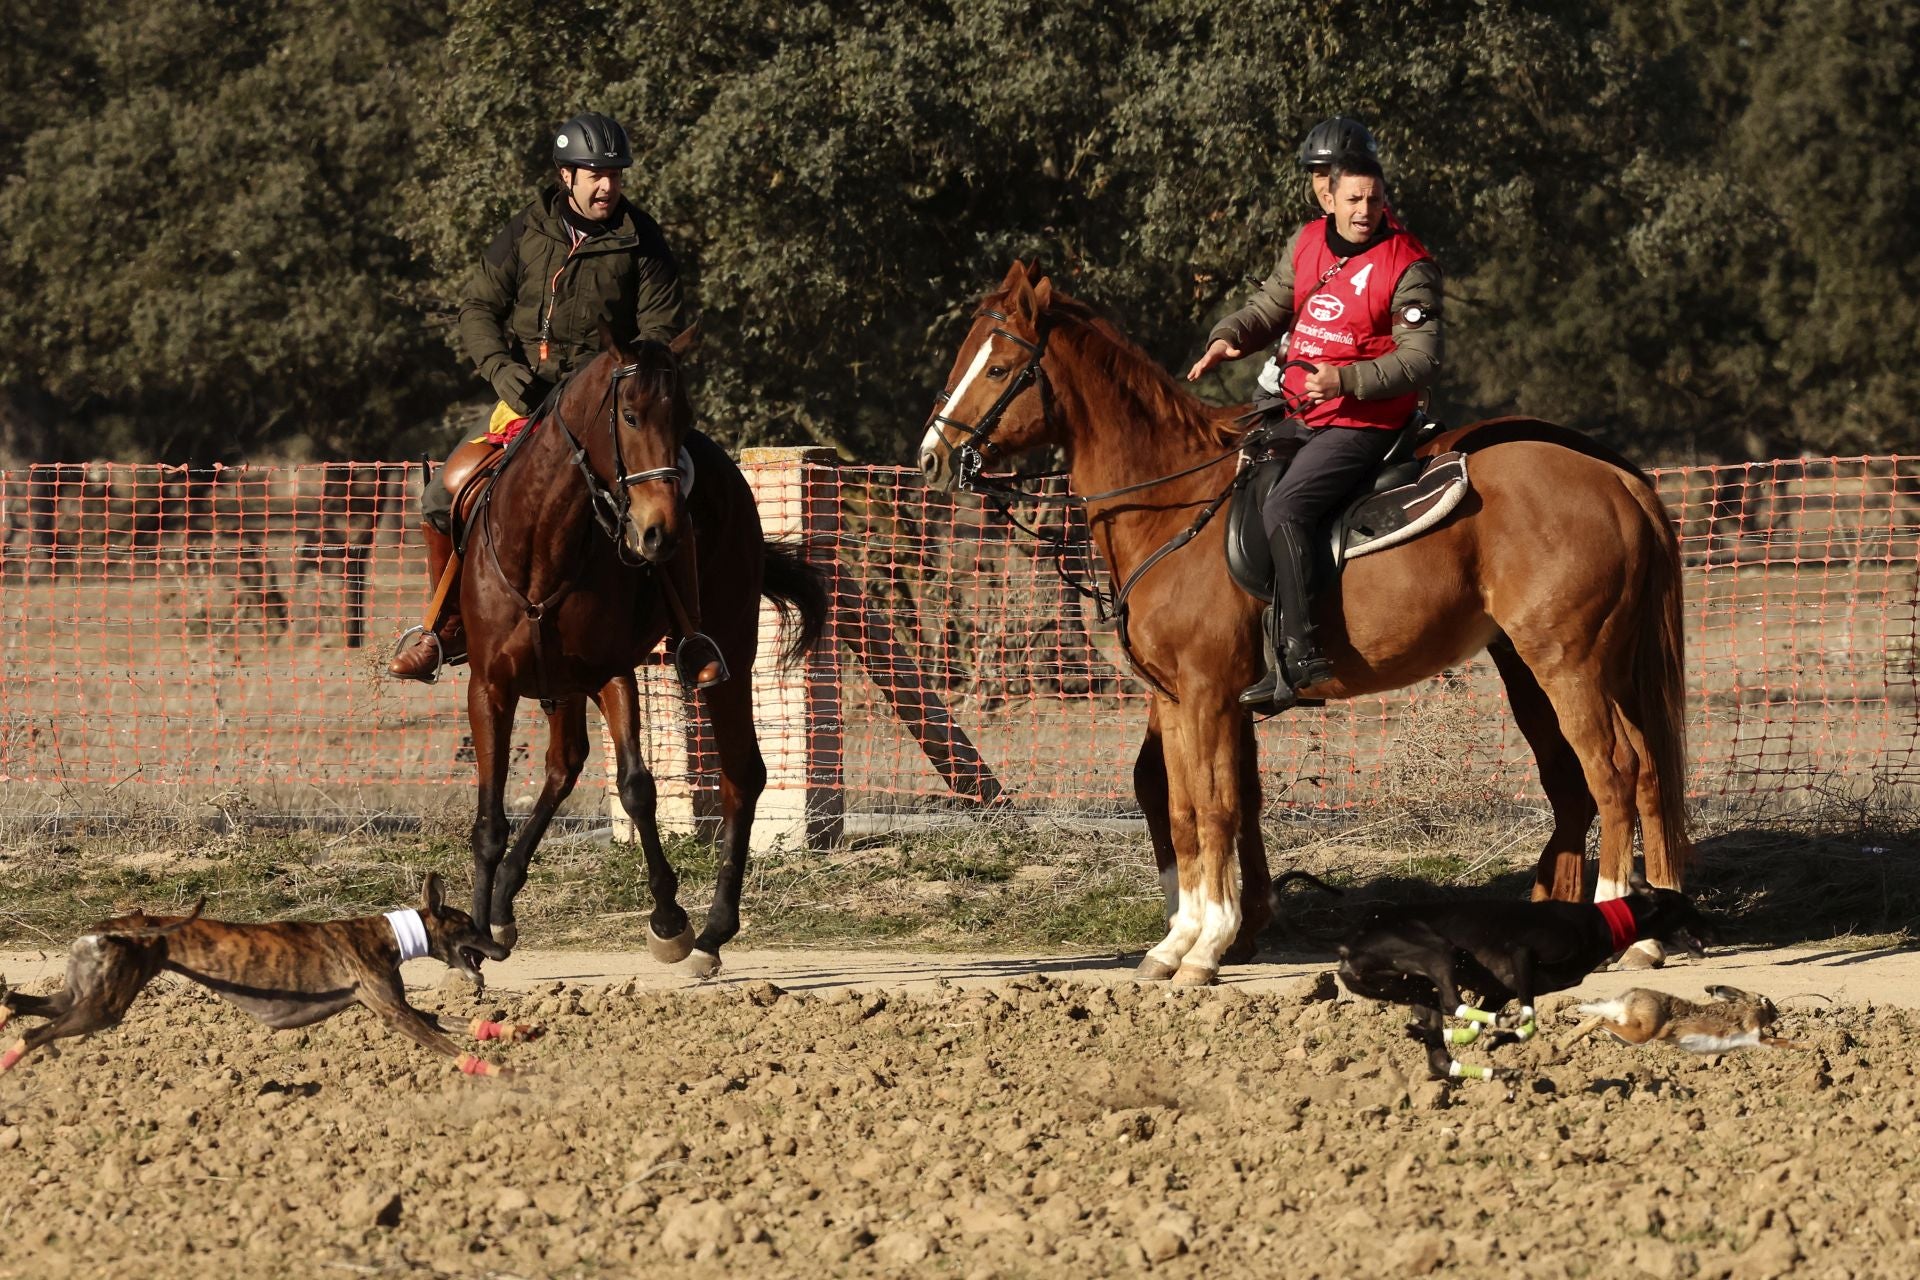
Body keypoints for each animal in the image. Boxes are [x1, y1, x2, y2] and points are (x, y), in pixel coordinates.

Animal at [464, 326, 833, 974]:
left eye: (683, 417)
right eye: (630, 415)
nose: (660, 532)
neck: (539, 545)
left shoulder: (610, 674)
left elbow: (638, 788)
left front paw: (669, 921)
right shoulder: (489, 686)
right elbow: (490, 819)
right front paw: (477, 940)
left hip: (729, 649)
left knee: (743, 772)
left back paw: (711, 934)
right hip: (558, 688)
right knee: (563, 767)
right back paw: (506, 904)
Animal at [921, 257, 1689, 982]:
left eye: (998, 368)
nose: (933, 456)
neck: (1175, 507)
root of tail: (1616, 479)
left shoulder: (1208, 696)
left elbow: (1217, 807)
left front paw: (1210, 942)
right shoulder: (1176, 700)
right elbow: (1183, 807)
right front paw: (1180, 940)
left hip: (1567, 663)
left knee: (1612, 772)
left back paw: (1617, 918)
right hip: (1587, 668)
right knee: (1645, 771)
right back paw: (1647, 930)